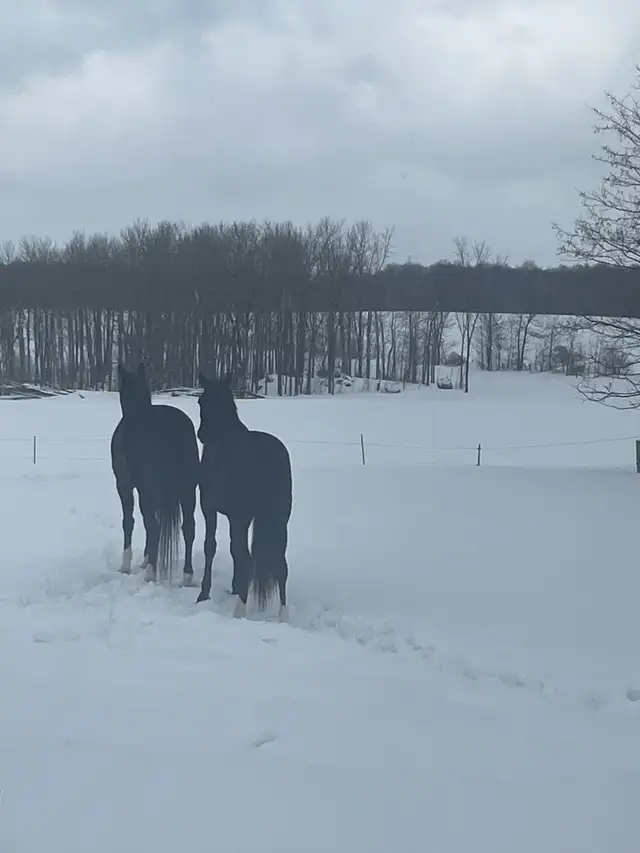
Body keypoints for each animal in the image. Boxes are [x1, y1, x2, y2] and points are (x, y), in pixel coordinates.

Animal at [112, 362, 200, 585]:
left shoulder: (125, 486)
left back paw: (151, 573)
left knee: (154, 525)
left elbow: (130, 522)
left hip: (149, 489)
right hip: (188, 490)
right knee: (189, 527)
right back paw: (187, 575)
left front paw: (126, 566)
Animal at [196, 371, 293, 621]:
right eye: (201, 402)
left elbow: (212, 546)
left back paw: (240, 609)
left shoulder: (212, 509)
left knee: (248, 558)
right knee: (281, 565)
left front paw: (204, 593)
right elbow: (233, 550)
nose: (202, 435)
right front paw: (236, 586)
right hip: (280, 520)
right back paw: (282, 616)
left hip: (244, 517)